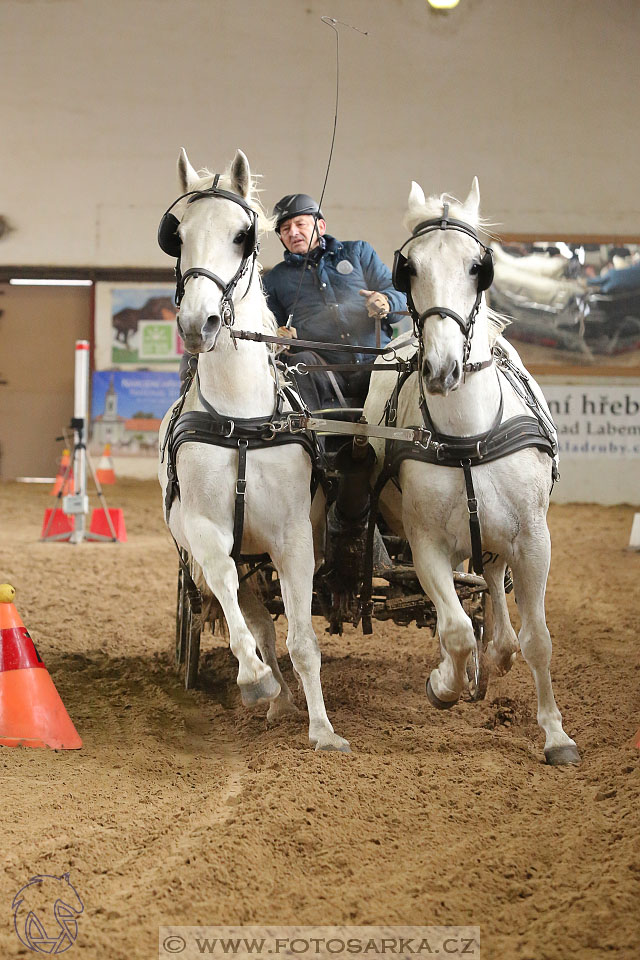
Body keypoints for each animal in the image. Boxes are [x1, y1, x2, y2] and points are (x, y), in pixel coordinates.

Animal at [160, 146, 350, 752]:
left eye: (243, 235)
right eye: (178, 235)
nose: (197, 323)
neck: (242, 421)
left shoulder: (294, 537)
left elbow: (304, 639)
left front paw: (324, 731)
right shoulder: (203, 529)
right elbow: (226, 590)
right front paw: (256, 681)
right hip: (242, 556)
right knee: (253, 615)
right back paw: (274, 696)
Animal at [364, 178, 580, 764]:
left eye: (476, 268)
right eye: (409, 268)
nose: (441, 370)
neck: (467, 436)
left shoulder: (534, 539)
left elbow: (537, 639)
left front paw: (556, 736)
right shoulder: (424, 544)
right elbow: (456, 630)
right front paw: (444, 684)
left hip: (498, 535)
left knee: (491, 593)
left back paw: (496, 652)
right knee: (457, 614)